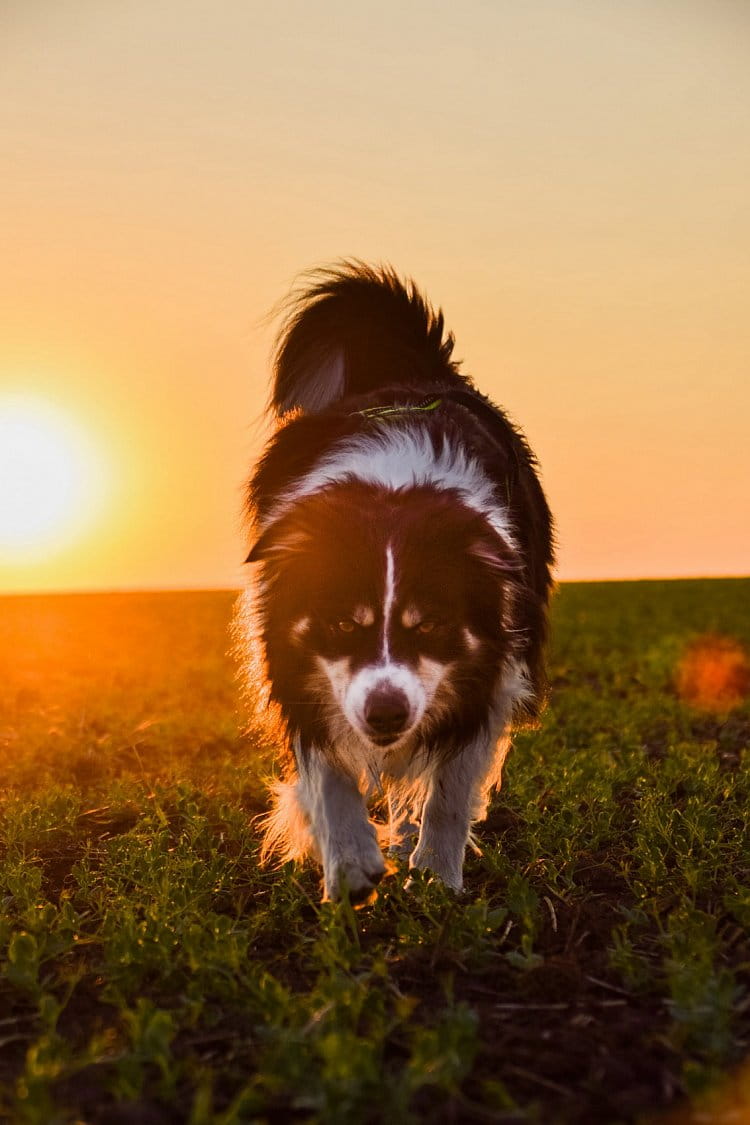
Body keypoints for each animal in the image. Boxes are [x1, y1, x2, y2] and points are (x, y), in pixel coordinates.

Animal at [237, 258, 555, 900]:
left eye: (430, 624)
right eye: (341, 622)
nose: (386, 715)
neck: (392, 490)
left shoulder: (492, 669)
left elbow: (451, 788)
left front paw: (436, 875)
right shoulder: (290, 657)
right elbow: (326, 774)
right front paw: (349, 864)